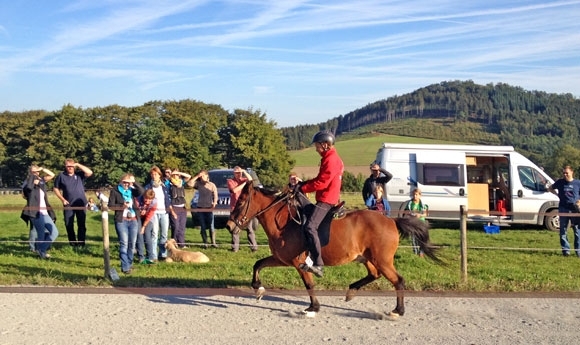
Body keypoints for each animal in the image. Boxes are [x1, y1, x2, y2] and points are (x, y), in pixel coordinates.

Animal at [224, 183, 442, 318]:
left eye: (241, 202)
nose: (229, 225)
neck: (284, 220)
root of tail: (391, 220)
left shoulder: (299, 263)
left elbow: (309, 284)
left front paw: (313, 307)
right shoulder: (282, 259)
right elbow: (258, 264)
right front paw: (258, 288)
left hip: (382, 260)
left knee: (398, 280)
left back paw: (398, 310)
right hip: (367, 258)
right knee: (375, 275)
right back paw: (351, 291)